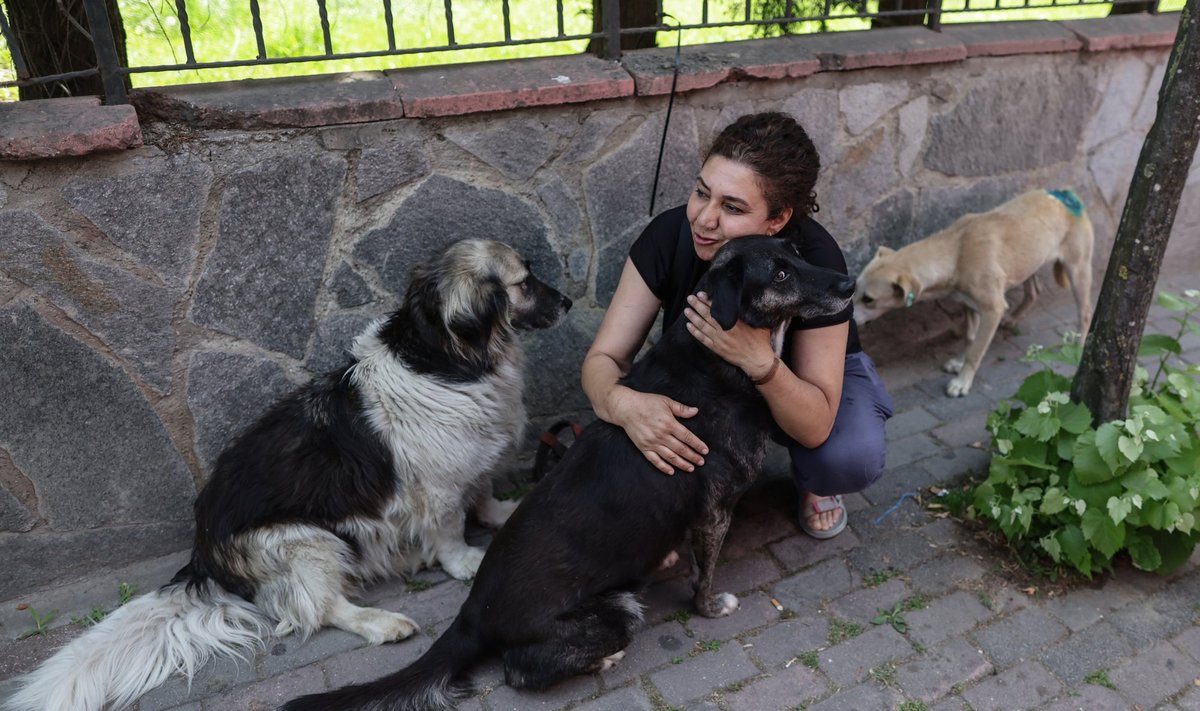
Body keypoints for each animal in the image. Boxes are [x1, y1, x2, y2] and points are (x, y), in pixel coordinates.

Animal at [7, 239, 571, 711]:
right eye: (524, 283)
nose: (567, 302)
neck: (441, 356)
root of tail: (203, 553)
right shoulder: (437, 490)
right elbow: (451, 530)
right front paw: (466, 562)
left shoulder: (472, 464)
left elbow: (484, 492)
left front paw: (505, 512)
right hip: (309, 542)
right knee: (319, 610)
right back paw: (383, 622)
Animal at [278, 237, 854, 711]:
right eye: (780, 274)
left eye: (796, 252)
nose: (849, 283)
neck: (713, 359)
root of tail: (473, 615)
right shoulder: (714, 509)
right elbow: (705, 574)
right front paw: (711, 606)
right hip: (617, 610)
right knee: (520, 672)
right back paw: (601, 658)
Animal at [854, 188, 1099, 396]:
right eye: (854, 289)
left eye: (868, 299)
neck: (956, 251)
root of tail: (1067, 194)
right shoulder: (969, 304)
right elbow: (970, 338)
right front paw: (959, 362)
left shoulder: (992, 309)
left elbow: (976, 350)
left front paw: (962, 382)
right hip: (1029, 262)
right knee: (1034, 292)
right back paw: (1013, 319)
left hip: (1078, 269)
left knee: (1085, 312)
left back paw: (1078, 347)